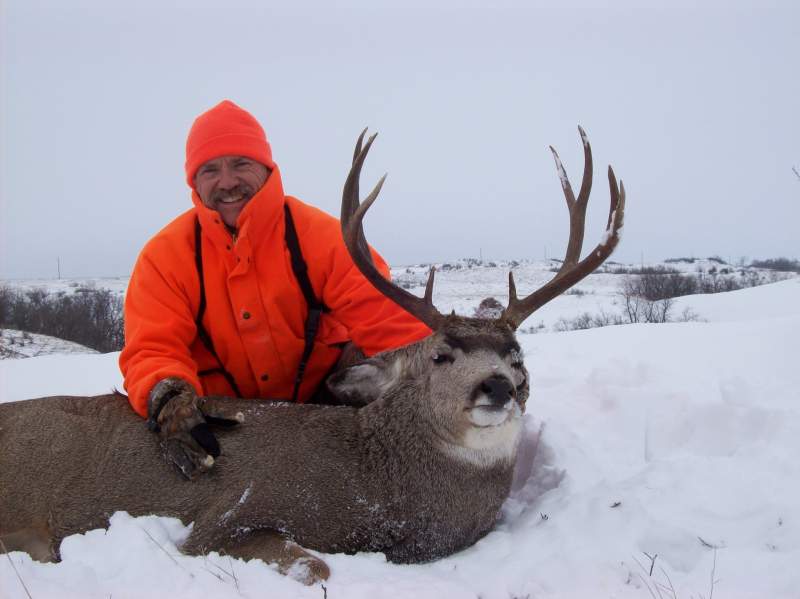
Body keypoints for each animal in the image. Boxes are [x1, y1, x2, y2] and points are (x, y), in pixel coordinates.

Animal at [0, 127, 624, 584]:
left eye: (517, 355)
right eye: (441, 355)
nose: (498, 386)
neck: (377, 494)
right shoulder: (222, 518)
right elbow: (314, 565)